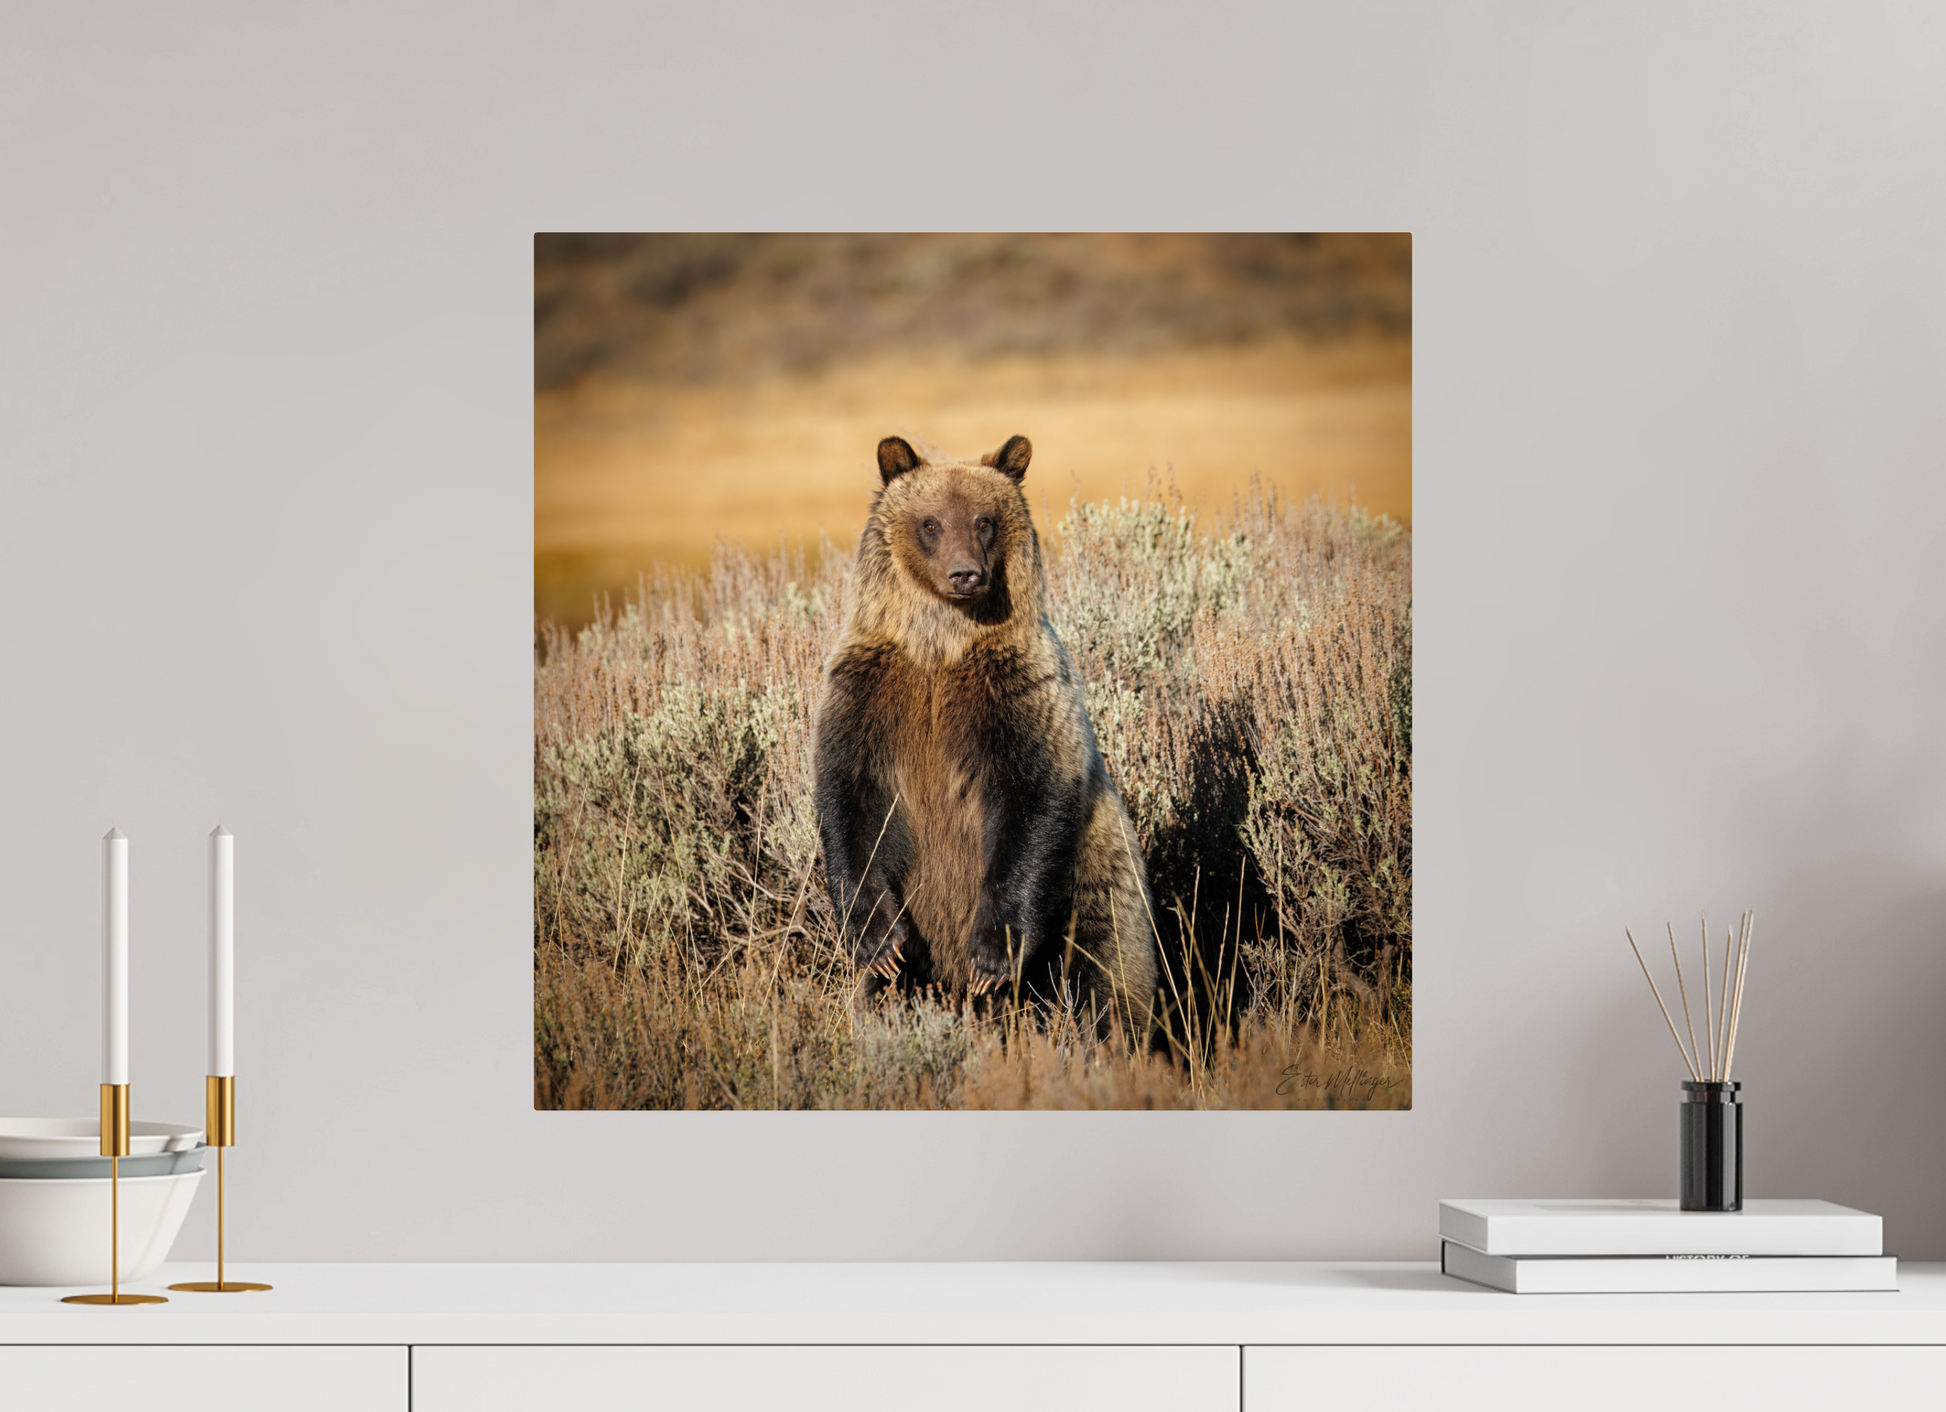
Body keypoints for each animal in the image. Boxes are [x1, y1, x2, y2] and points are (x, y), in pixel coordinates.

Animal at [812, 433, 1159, 1035]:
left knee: (1103, 973)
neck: (940, 647)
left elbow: (1032, 800)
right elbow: (849, 802)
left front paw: (990, 958)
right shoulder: (869, 693)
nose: (965, 574)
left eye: (984, 521)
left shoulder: (1016, 693)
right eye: (930, 522)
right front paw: (879, 942)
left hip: (1099, 879)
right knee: (893, 994)